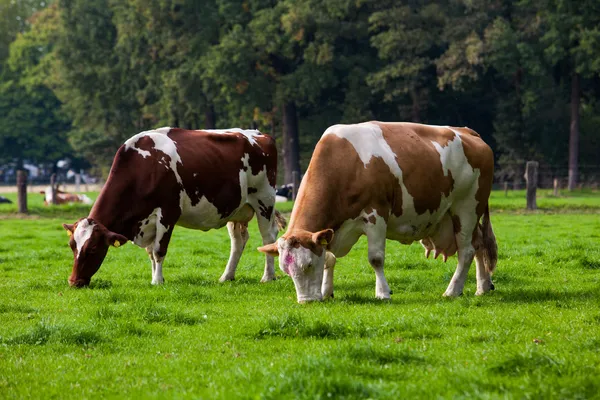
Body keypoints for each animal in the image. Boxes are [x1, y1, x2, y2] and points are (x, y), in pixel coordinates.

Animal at [62, 126, 284, 286]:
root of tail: (259, 134)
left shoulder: (168, 213)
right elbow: (150, 253)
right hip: (236, 209)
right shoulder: (147, 221)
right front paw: (154, 277)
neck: (144, 167)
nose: (73, 282)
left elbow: (159, 250)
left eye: (92, 248)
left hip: (264, 200)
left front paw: (158, 281)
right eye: (72, 245)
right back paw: (226, 276)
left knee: (268, 237)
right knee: (238, 241)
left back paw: (268, 277)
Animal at [258, 122, 496, 304]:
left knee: (466, 251)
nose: (306, 301)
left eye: (308, 264)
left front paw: (383, 293)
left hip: (466, 208)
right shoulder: (331, 230)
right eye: (286, 270)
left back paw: (452, 290)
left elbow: (376, 259)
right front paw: (327, 292)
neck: (346, 163)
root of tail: (467, 131)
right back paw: (483, 286)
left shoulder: (376, 215)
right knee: (479, 244)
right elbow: (329, 259)